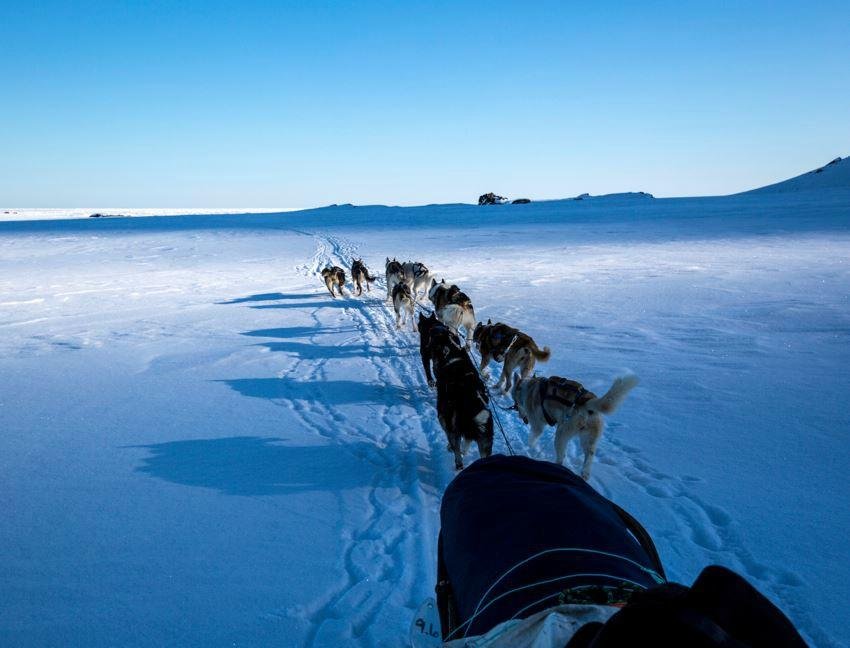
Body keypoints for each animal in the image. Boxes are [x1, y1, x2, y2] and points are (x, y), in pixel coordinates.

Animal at [416, 312, 490, 468]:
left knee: (455, 446)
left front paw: (431, 382)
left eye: (420, 325)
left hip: (444, 417)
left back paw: (455, 455)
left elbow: (429, 373)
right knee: (467, 441)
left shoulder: (425, 356)